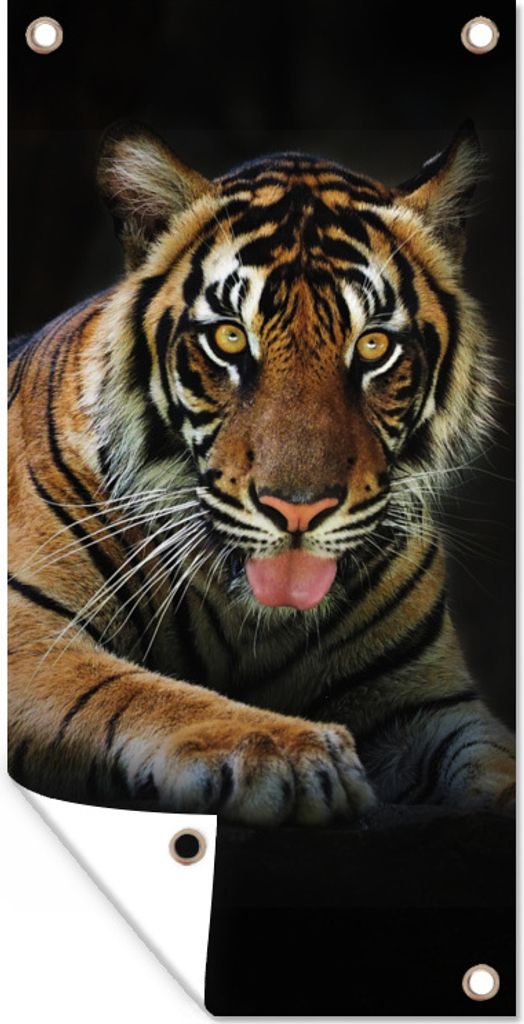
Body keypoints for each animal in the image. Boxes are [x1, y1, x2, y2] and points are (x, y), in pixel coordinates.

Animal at [8, 120, 515, 825]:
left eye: (373, 346)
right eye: (228, 339)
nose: (298, 508)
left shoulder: (423, 701)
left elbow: (496, 756)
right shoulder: (31, 636)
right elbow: (135, 689)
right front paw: (285, 753)